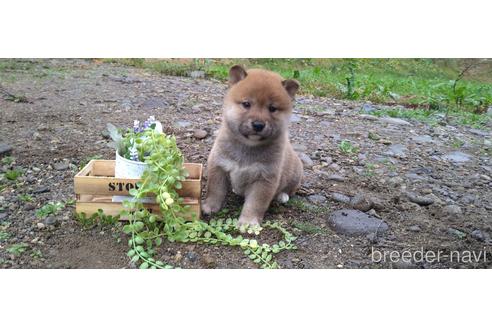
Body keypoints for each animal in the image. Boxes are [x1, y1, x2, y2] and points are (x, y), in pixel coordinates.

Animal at [202, 65, 302, 227]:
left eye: (272, 108)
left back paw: (282, 196)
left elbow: (255, 203)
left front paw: (248, 222)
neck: (247, 147)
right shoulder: (219, 167)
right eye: (246, 104)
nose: (258, 125)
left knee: (290, 189)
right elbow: (215, 191)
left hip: (295, 174)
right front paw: (209, 207)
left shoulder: (265, 179)